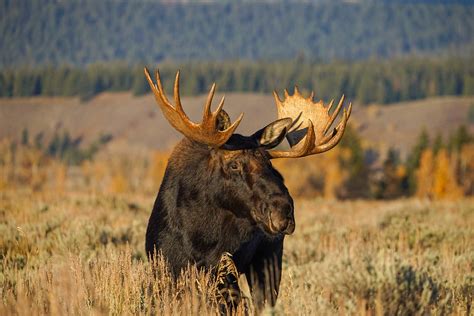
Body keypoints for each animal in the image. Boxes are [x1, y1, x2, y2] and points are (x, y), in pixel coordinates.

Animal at [144, 68, 352, 312]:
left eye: (269, 163)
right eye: (234, 164)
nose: (283, 211)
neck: (199, 236)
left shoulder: (225, 272)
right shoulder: (166, 267)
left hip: (268, 260)